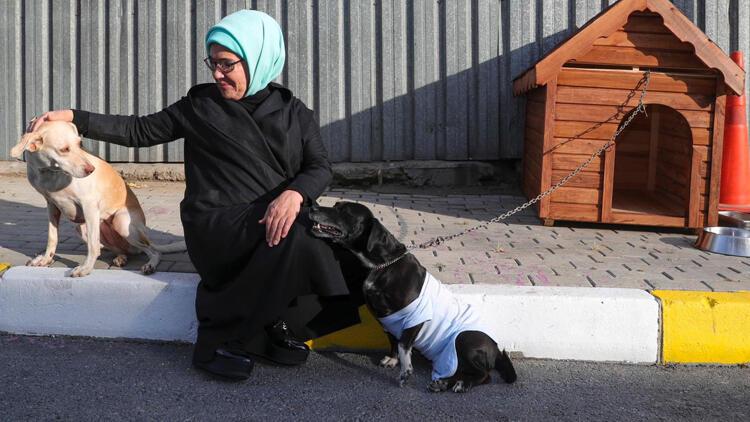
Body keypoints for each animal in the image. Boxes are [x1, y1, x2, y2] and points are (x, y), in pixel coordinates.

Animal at [9, 121, 187, 276]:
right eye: (64, 149)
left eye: (80, 144)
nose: (91, 169)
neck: (50, 173)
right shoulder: (52, 206)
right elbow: (52, 237)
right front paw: (46, 260)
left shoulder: (89, 205)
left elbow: (93, 246)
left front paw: (86, 268)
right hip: (81, 228)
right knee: (119, 250)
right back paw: (121, 258)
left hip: (122, 222)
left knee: (153, 251)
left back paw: (150, 265)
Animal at [312, 201, 516, 392]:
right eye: (335, 205)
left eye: (344, 211)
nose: (312, 207)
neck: (383, 265)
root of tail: (496, 349)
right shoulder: (386, 318)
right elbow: (393, 341)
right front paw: (392, 360)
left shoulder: (415, 317)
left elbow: (403, 345)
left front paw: (405, 372)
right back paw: (442, 383)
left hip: (464, 339)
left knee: (485, 375)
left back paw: (462, 384)